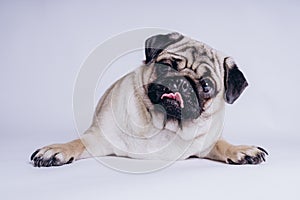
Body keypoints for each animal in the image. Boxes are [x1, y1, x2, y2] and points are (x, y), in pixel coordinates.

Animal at [30, 32, 268, 167]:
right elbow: (77, 142)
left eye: (206, 86)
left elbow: (222, 144)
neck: (165, 126)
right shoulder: (98, 138)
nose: (181, 83)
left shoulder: (208, 142)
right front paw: (58, 150)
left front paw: (240, 150)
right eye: (168, 66)